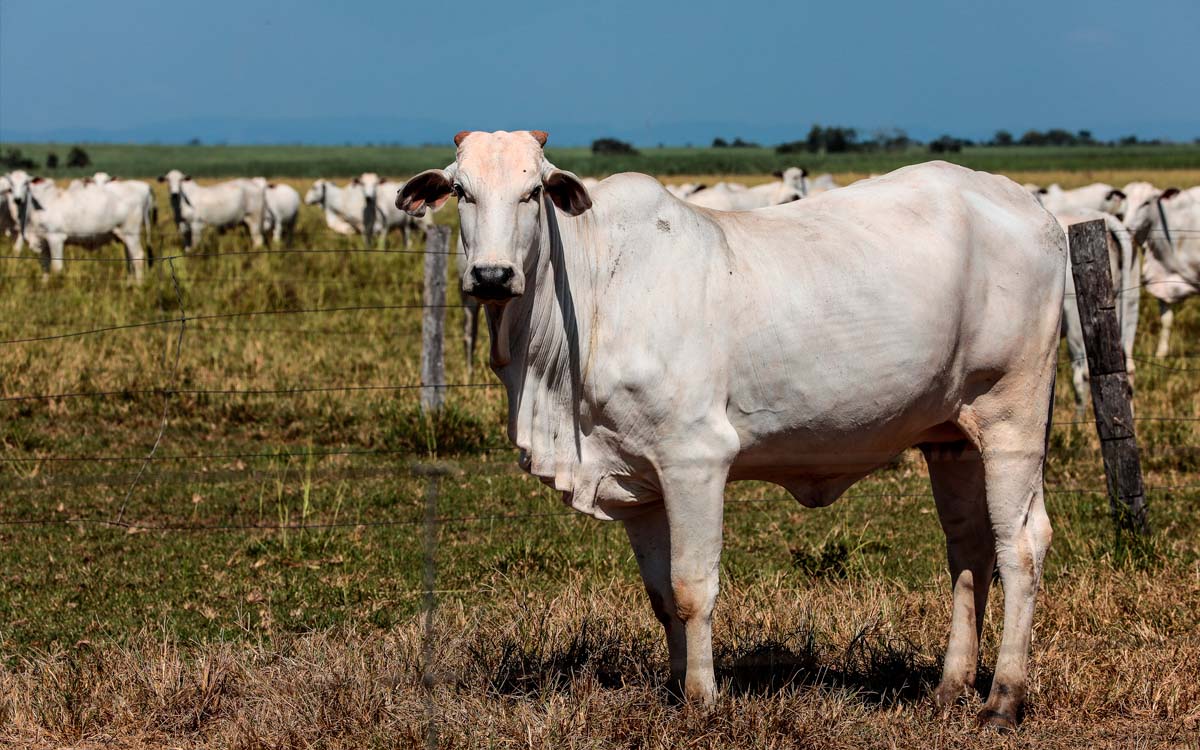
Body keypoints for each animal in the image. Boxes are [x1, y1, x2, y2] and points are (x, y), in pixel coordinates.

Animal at [9, 171, 154, 279]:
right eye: (10, 184)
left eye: (26, 183)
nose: (17, 199)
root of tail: (143, 187)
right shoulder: (43, 241)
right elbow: (45, 266)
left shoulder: (56, 238)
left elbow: (57, 267)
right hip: (125, 235)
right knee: (130, 259)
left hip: (131, 233)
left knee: (138, 257)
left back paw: (139, 286)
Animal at [398, 131, 1065, 729]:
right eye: (462, 189)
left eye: (533, 191)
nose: (491, 276)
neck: (591, 292)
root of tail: (1036, 210)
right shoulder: (638, 483)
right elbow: (662, 597)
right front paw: (673, 690)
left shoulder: (696, 459)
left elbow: (693, 588)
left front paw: (701, 701)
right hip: (951, 439)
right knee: (969, 550)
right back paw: (950, 688)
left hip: (1014, 417)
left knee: (1021, 546)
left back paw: (1002, 701)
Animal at [1123, 189, 1200, 360]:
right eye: (1124, 200)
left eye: (1146, 202)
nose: (1127, 228)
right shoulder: (1161, 284)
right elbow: (1166, 319)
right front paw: (1161, 354)